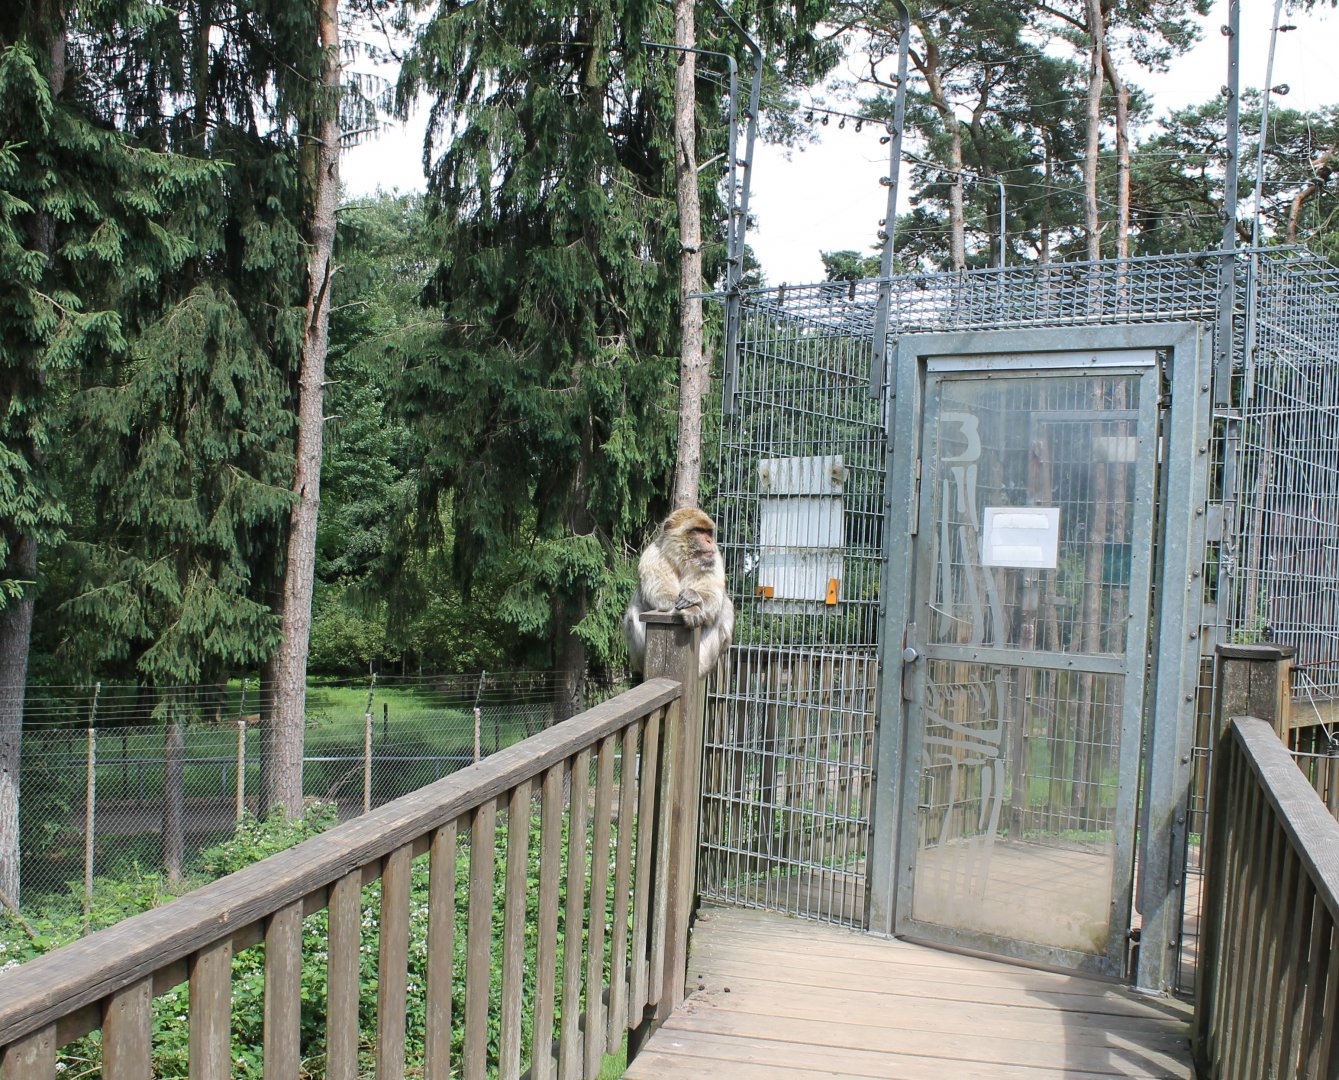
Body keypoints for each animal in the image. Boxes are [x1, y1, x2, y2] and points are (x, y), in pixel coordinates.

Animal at [624, 507, 735, 679]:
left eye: (708, 532)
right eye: (697, 531)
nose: (709, 541)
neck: (683, 561)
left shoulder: (714, 557)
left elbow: (714, 596)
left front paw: (693, 598)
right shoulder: (652, 556)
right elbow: (660, 593)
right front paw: (690, 609)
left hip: (706, 659)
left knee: (725, 608)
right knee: (633, 612)